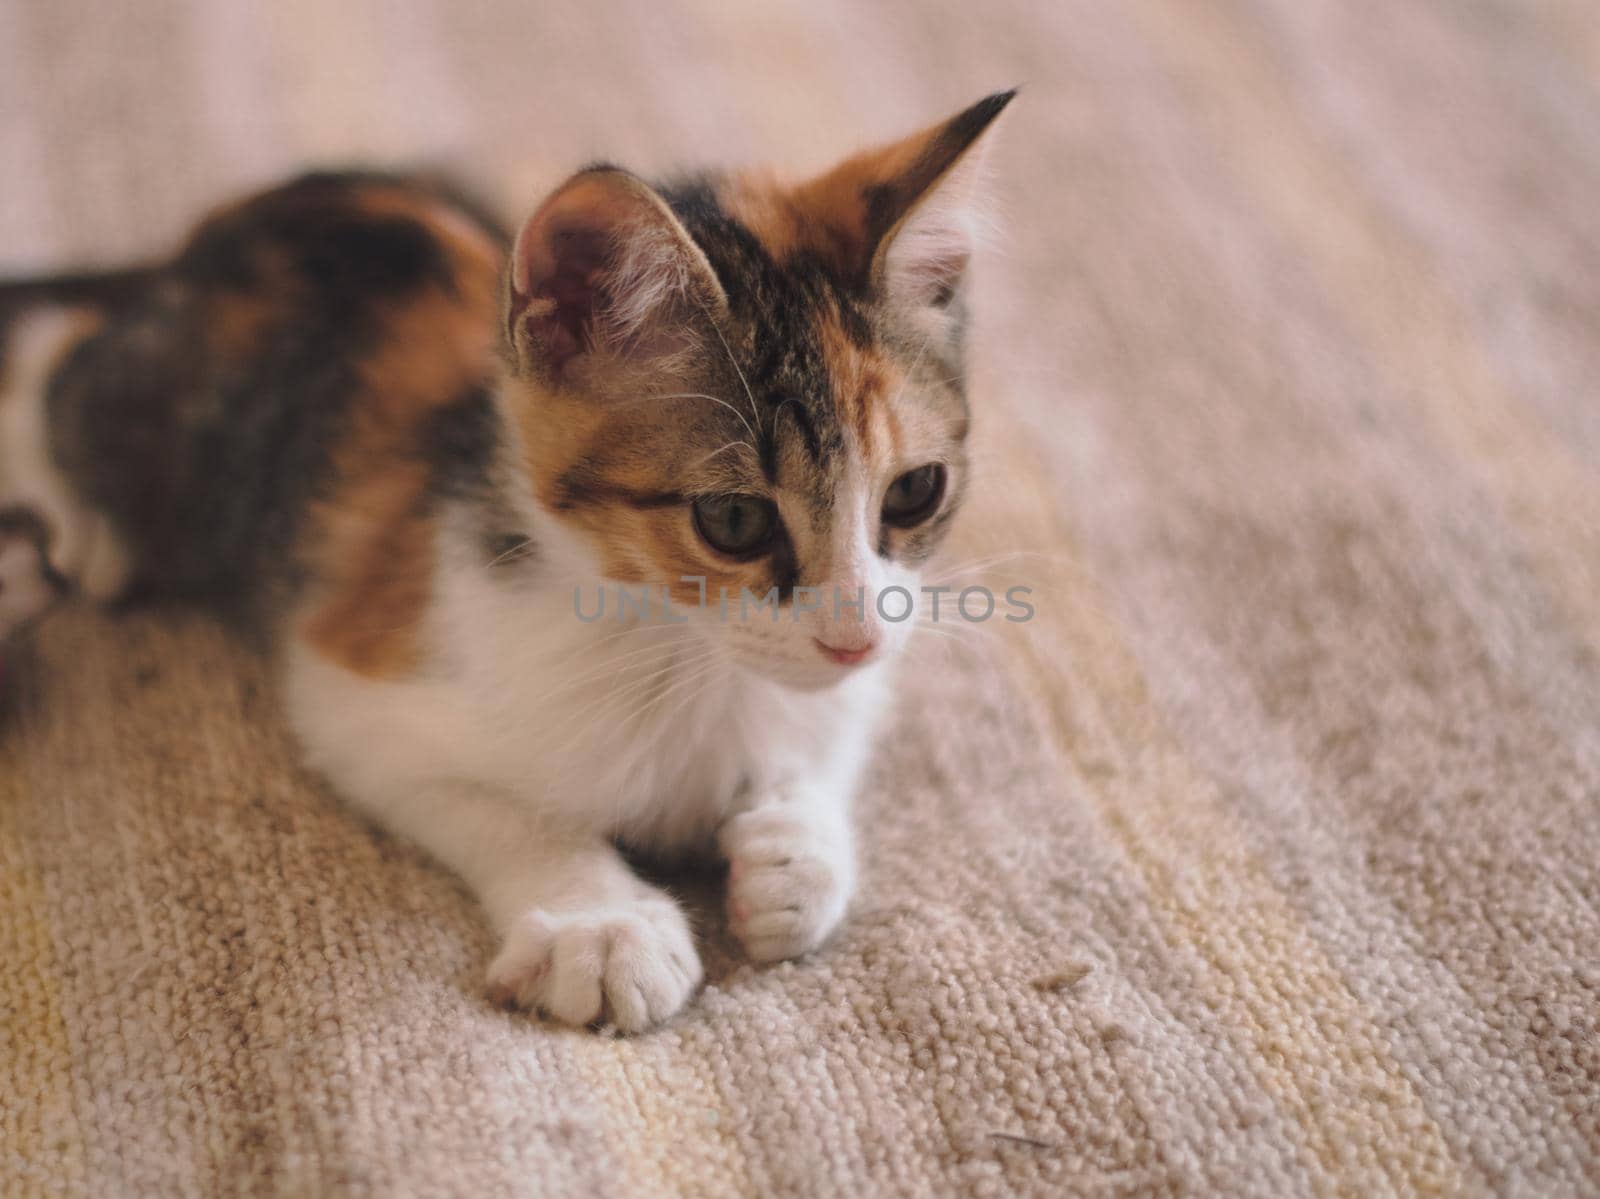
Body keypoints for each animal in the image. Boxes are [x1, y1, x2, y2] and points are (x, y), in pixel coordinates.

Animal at [3, 91, 1011, 1030]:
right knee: (58, 360)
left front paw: (793, 859)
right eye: (732, 519)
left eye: (915, 492)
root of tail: (223, 226)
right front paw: (601, 923)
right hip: (160, 422)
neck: (681, 649)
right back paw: (82, 531)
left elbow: (830, 739)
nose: (853, 639)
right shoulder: (357, 687)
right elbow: (501, 806)